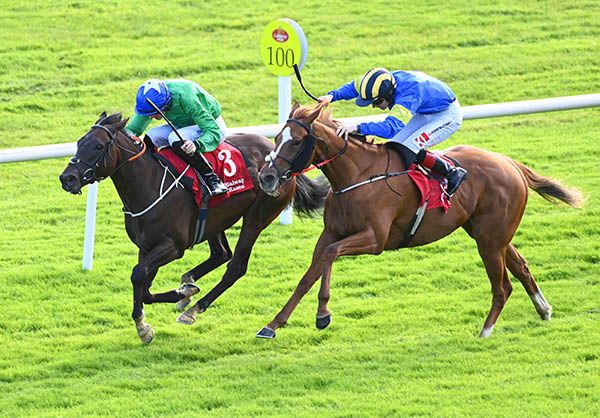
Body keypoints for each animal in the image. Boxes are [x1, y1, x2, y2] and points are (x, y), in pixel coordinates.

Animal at [59, 112, 328, 344]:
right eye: (79, 142)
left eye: (98, 146)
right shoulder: (146, 247)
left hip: (257, 216)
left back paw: (194, 309)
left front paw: (148, 323)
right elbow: (143, 285)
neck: (149, 184)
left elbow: (137, 275)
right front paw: (173, 302)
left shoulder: (173, 246)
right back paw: (188, 284)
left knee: (235, 267)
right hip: (215, 220)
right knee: (221, 254)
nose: (67, 178)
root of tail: (281, 162)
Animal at [256, 103, 580, 340]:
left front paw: (323, 314)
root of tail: (510, 164)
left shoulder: (374, 239)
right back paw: (544, 309)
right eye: (277, 138)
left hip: (490, 240)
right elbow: (310, 272)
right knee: (521, 267)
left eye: (297, 142)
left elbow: (330, 255)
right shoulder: (331, 232)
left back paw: (485, 331)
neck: (356, 176)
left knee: (502, 287)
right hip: (490, 234)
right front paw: (273, 325)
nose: (266, 177)